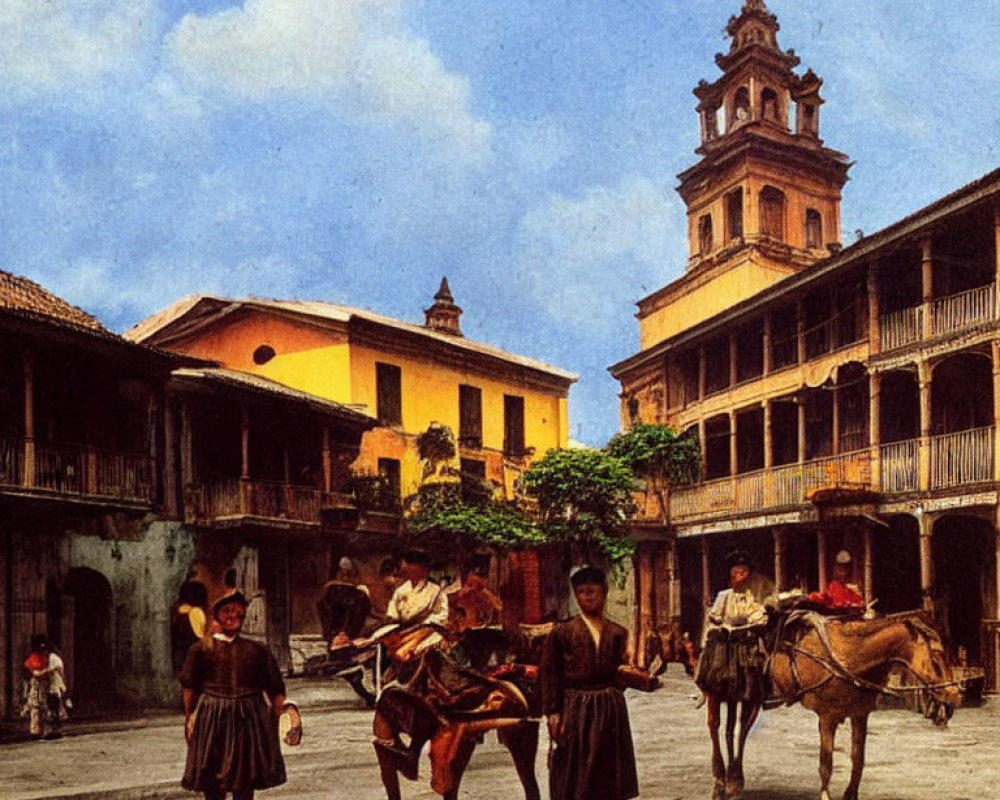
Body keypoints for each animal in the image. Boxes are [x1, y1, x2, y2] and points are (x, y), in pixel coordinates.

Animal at [768, 608, 964, 800]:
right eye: (935, 661)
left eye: (952, 658)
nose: (953, 695)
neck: (848, 658)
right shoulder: (827, 717)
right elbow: (826, 764)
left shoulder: (860, 715)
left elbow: (858, 759)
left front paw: (850, 794)